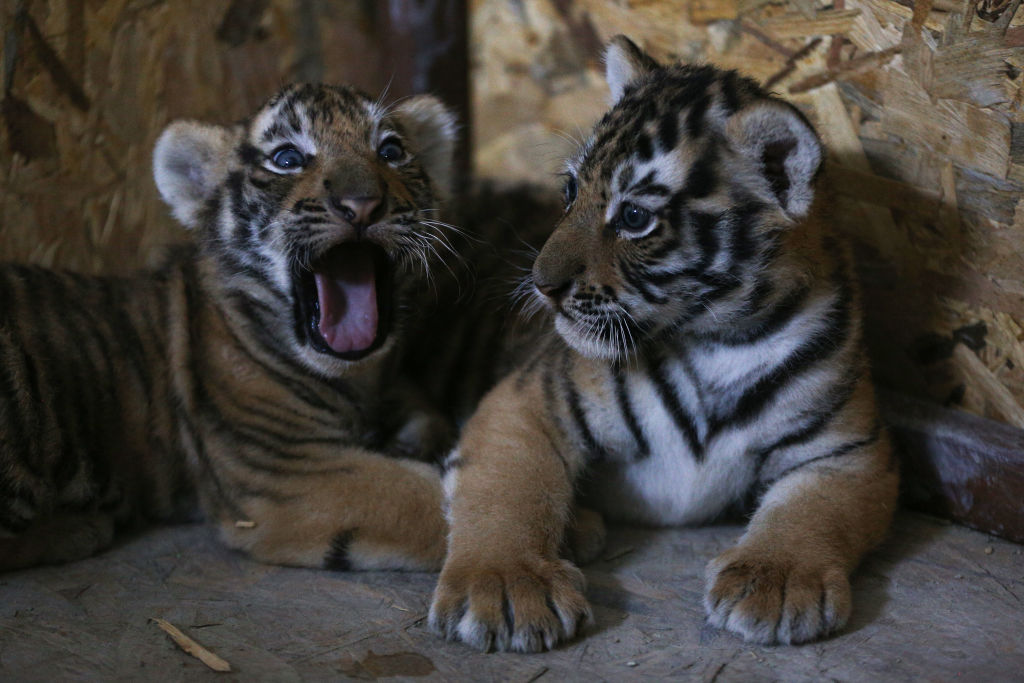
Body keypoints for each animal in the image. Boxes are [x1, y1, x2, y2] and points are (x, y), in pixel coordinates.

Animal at [0, 83, 461, 572]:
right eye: (287, 158)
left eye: (391, 151)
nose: (363, 205)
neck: (358, 378)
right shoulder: (288, 466)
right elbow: (432, 500)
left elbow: (429, 413)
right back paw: (79, 530)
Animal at [429, 36, 899, 651]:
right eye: (570, 191)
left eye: (633, 216)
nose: (541, 284)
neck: (721, 342)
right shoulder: (526, 399)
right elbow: (506, 490)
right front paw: (507, 586)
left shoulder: (848, 448)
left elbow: (815, 511)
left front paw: (776, 579)